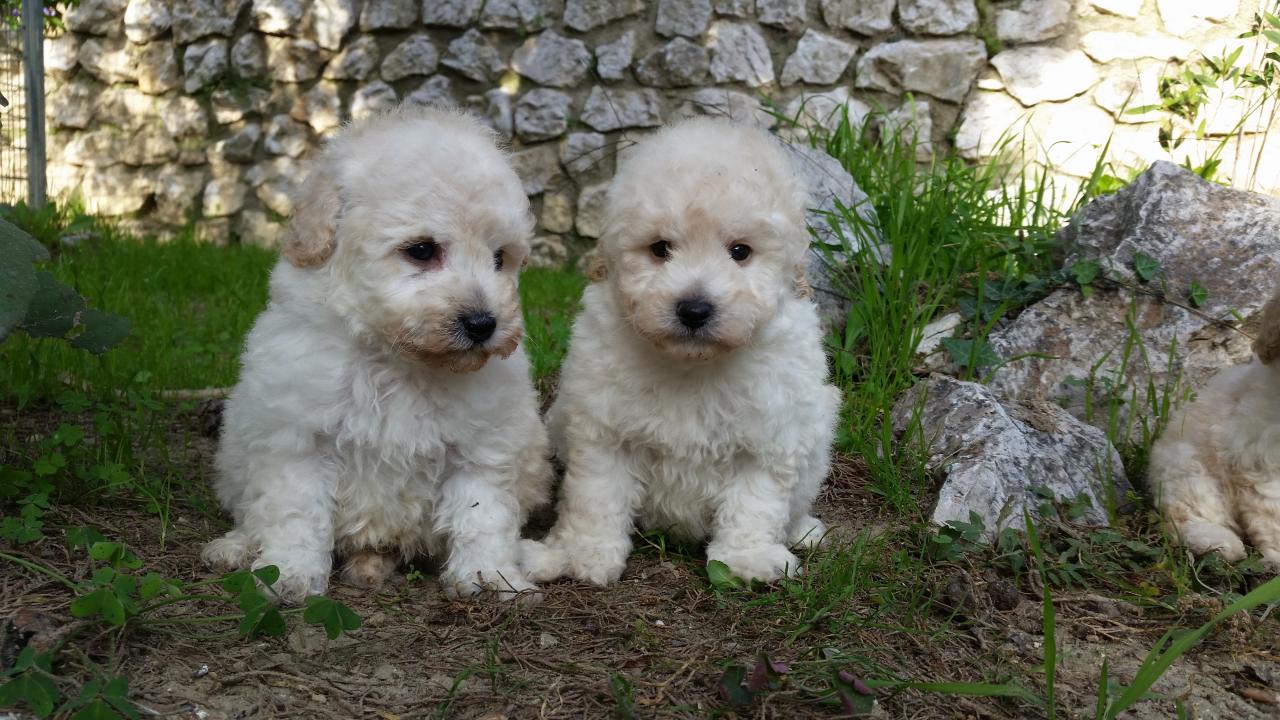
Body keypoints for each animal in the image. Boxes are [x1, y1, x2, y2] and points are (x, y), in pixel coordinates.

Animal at [202, 105, 552, 599]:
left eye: (500, 258)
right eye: (421, 250)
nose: (483, 324)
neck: (398, 360)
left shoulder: (483, 443)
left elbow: (482, 512)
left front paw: (488, 576)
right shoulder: (298, 437)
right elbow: (296, 512)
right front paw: (288, 573)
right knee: (253, 514)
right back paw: (236, 546)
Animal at [519, 117, 839, 586]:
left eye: (740, 251)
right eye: (660, 249)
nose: (694, 309)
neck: (692, 364)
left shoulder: (771, 432)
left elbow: (754, 500)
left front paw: (746, 559)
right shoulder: (603, 429)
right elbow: (596, 496)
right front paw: (581, 554)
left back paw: (804, 531)